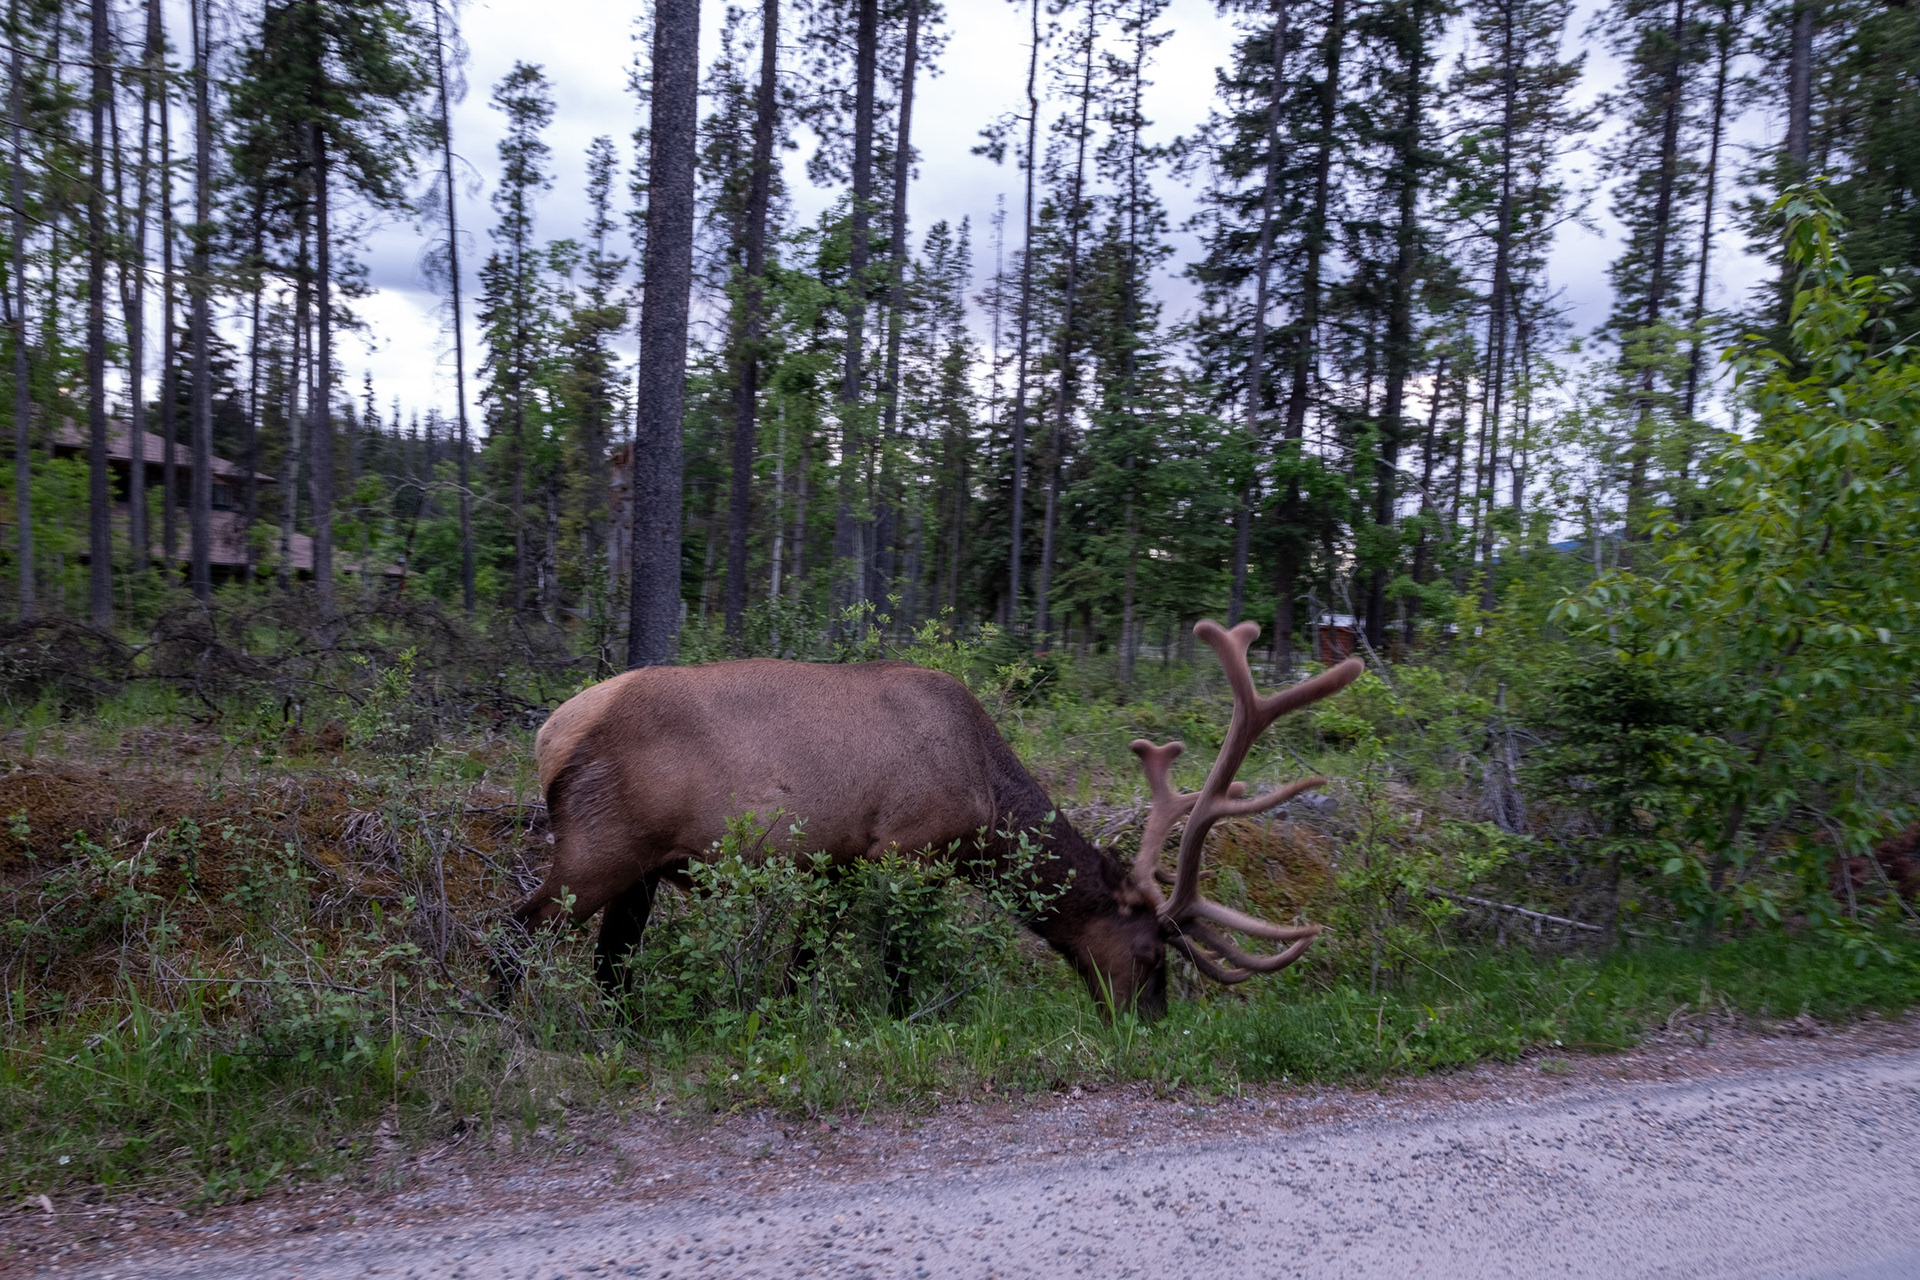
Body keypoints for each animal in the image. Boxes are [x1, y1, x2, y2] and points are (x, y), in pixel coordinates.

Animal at [499, 619, 1363, 1020]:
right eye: (1150, 951)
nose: (1148, 1021)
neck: (988, 801)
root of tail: (549, 735)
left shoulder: (839, 859)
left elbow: (804, 960)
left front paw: (787, 1017)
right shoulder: (910, 849)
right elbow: (902, 958)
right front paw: (904, 1019)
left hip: (640, 867)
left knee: (612, 960)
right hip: (600, 845)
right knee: (518, 929)